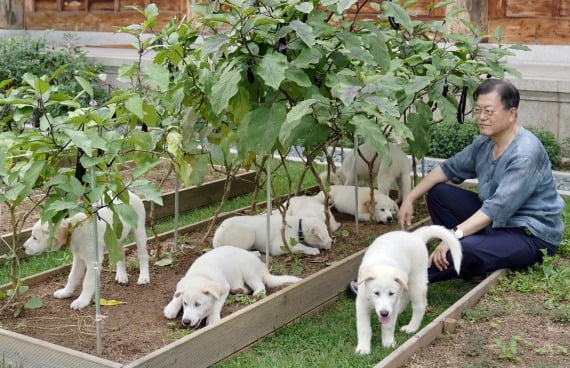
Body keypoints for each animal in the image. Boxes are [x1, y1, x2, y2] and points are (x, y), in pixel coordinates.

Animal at [162, 246, 300, 326]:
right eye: (185, 304)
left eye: (198, 304)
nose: (186, 322)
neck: (202, 274)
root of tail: (263, 267)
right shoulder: (185, 282)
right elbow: (178, 295)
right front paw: (171, 307)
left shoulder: (224, 288)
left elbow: (216, 304)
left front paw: (213, 318)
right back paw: (239, 290)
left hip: (248, 271)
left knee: (260, 285)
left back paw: (257, 293)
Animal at [356, 224, 462, 354]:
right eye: (376, 293)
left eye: (391, 293)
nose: (384, 313)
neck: (382, 263)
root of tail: (415, 236)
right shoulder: (361, 304)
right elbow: (364, 328)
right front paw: (363, 348)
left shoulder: (392, 303)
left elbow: (388, 326)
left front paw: (388, 343)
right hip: (406, 282)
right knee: (405, 297)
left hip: (417, 280)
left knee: (419, 305)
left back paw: (411, 327)